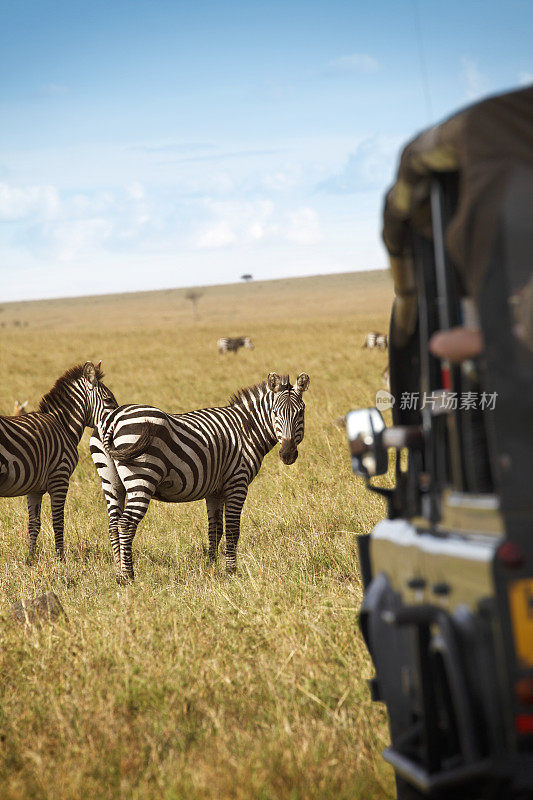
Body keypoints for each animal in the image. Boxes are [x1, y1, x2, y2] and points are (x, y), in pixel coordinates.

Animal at [0, 362, 117, 564]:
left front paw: (31, 558)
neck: (63, 425)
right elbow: (58, 520)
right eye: (109, 400)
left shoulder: (35, 488)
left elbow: (34, 523)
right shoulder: (60, 478)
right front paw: (60, 558)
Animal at [91, 368, 308, 580]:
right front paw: (231, 571)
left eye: (301, 412)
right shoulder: (237, 482)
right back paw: (128, 576)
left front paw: (211, 567)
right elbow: (232, 529)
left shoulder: (215, 491)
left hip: (111, 482)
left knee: (113, 524)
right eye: (275, 413)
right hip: (142, 478)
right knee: (126, 523)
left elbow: (215, 530)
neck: (246, 429)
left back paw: (118, 573)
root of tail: (113, 419)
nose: (288, 454)